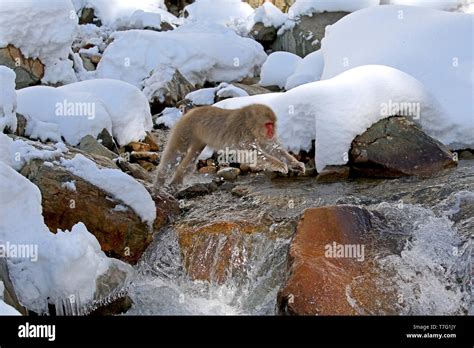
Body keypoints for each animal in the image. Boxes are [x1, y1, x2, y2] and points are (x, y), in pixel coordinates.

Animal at [154, 104, 306, 188]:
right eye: (268, 124)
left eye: (273, 124)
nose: (272, 131)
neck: (249, 123)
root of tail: (190, 112)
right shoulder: (243, 134)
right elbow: (252, 153)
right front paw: (280, 165)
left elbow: (273, 148)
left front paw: (295, 163)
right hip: (185, 129)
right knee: (175, 154)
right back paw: (160, 182)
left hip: (197, 138)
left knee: (191, 157)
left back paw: (176, 181)